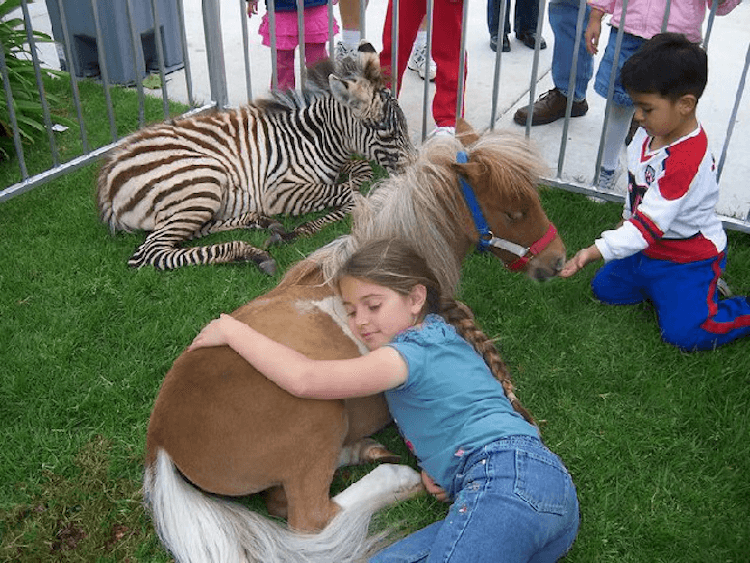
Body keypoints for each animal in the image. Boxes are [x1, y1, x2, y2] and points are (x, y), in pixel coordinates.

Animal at [96, 42, 415, 273]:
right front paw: (303, 229)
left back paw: (260, 222)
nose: (412, 170)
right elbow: (349, 194)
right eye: (383, 127)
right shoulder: (279, 192)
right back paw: (251, 252)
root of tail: (107, 181)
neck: (314, 140)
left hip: (197, 200)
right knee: (150, 253)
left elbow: (360, 170)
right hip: (203, 180)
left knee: (189, 232)